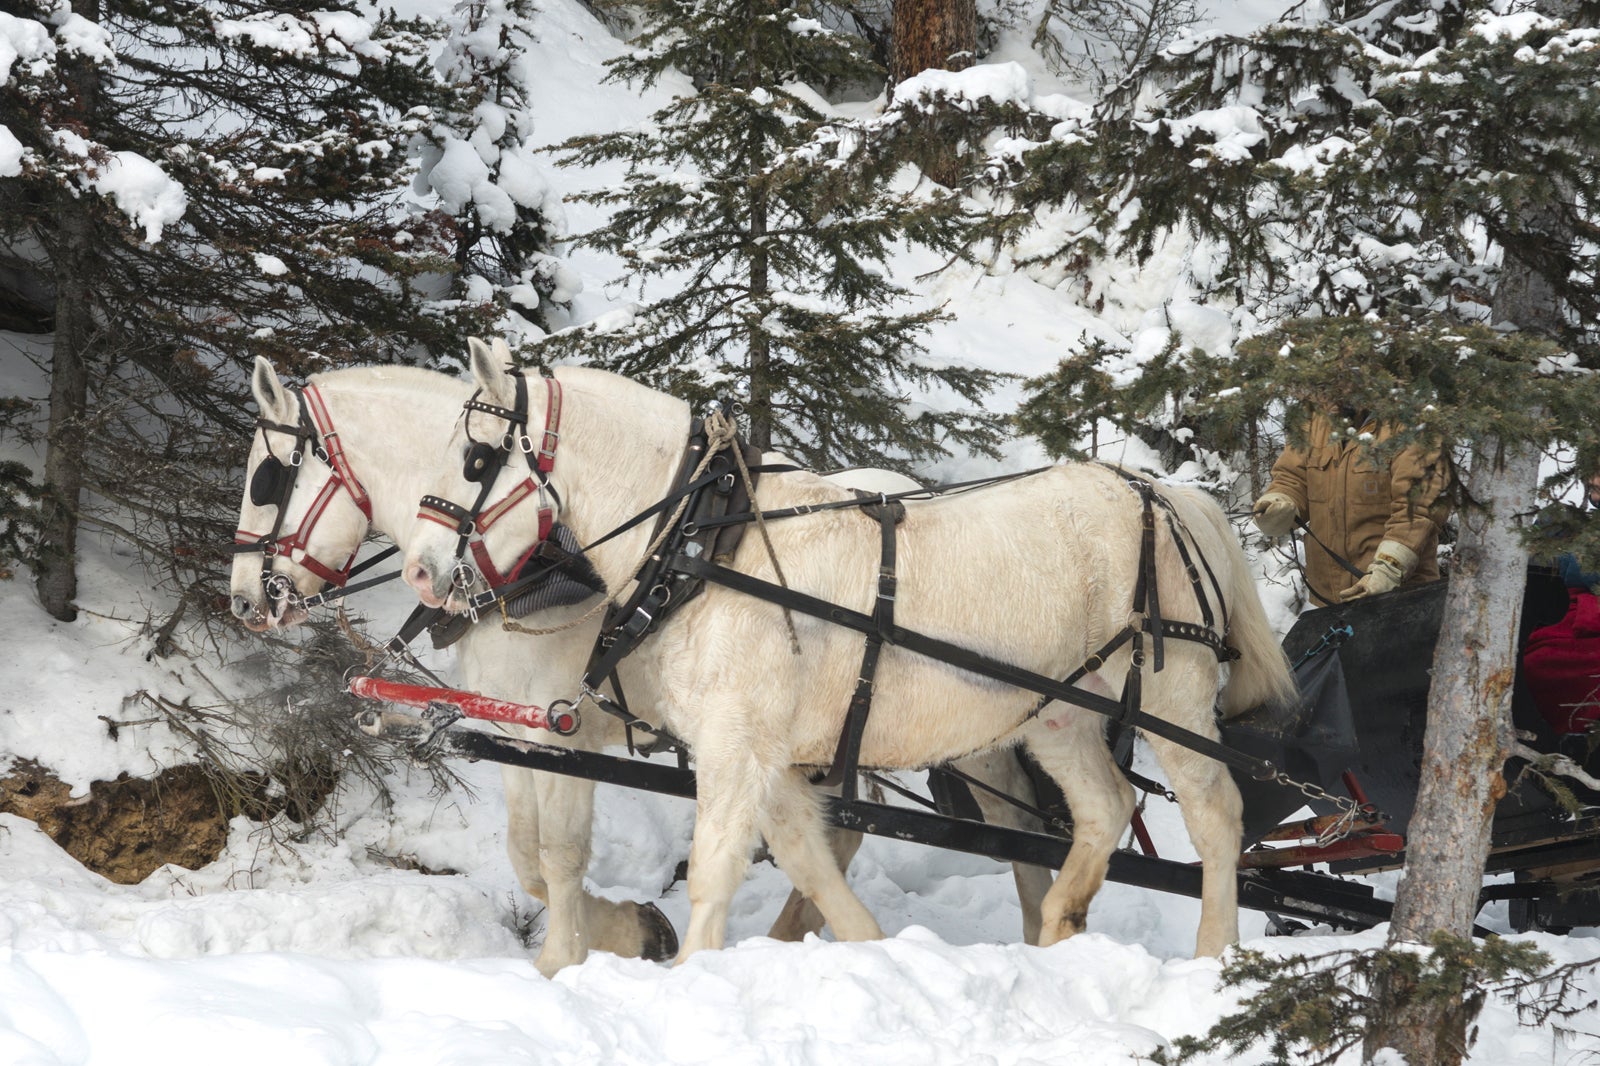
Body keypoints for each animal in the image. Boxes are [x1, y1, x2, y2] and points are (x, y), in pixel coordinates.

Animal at [225, 356, 1049, 973]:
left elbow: (557, 854)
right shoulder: (518, 729)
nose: (242, 601)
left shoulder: (560, 729)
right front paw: (630, 930)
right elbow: (524, 853)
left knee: (1006, 822)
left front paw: (569, 956)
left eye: (267, 477)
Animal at [400, 337, 1299, 953]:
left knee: (1216, 815)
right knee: (1105, 807)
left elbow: (718, 869)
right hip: (1056, 714)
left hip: (1173, 695)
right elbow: (809, 856)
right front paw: (868, 948)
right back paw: (1055, 929)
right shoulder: (766, 752)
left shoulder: (734, 744)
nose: (417, 570)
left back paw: (1213, 953)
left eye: (475, 457)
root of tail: (1166, 493)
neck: (706, 544)